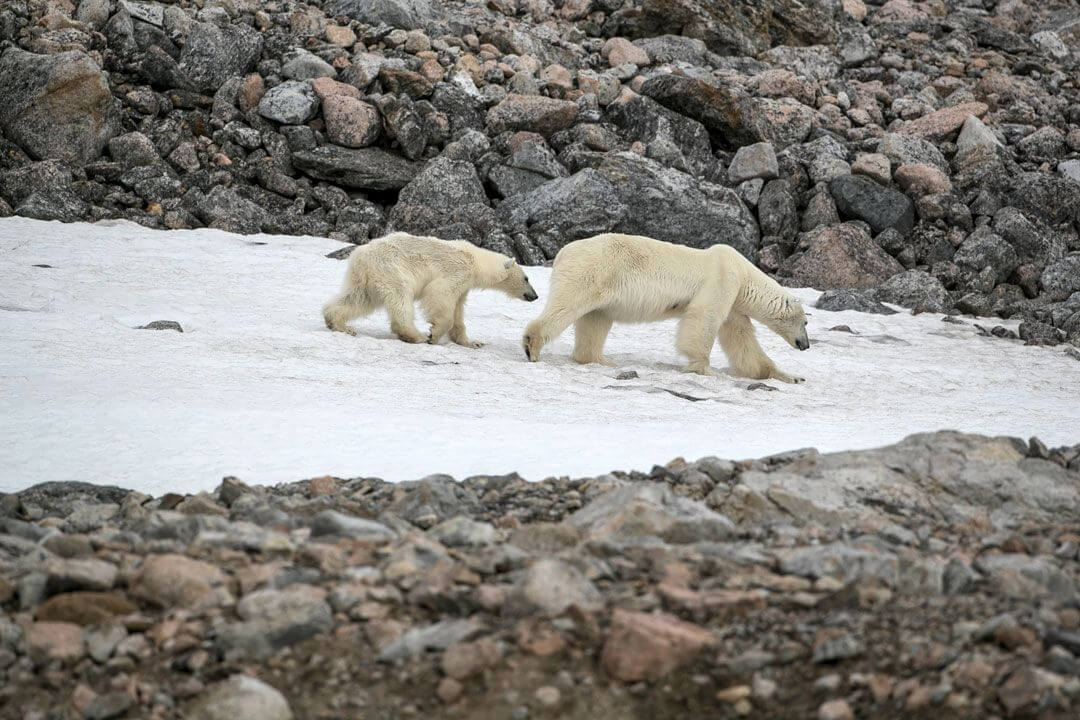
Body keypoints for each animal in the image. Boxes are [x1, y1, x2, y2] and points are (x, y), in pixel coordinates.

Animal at [522, 235, 812, 382]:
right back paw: (532, 346)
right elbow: (703, 318)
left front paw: (787, 375)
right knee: (566, 305)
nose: (806, 345)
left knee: (595, 321)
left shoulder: (734, 305)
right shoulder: (722, 280)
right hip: (593, 271)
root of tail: (563, 252)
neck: (745, 275)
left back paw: (600, 359)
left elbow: (741, 339)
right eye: (806, 323)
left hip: (602, 290)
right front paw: (704, 368)